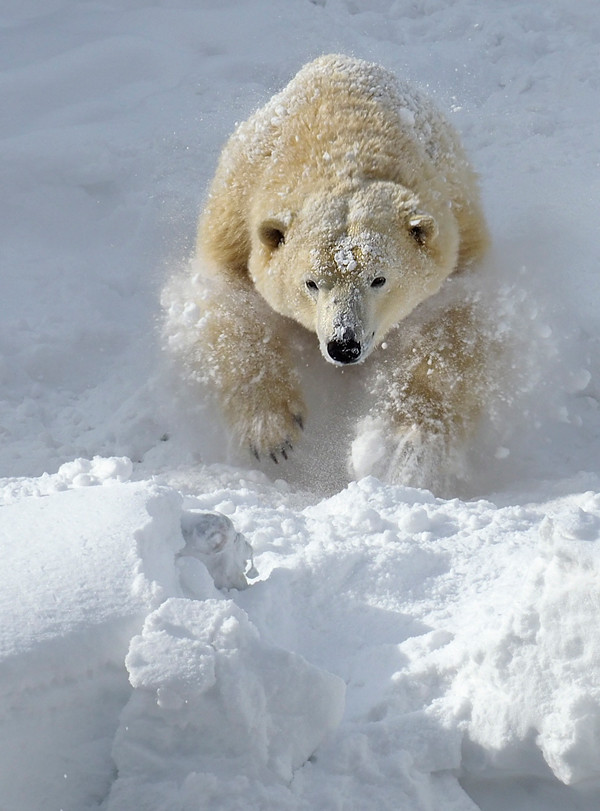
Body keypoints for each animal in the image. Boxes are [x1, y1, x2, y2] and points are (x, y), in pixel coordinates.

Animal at [165, 55, 492, 494]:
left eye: (379, 279)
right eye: (311, 282)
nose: (344, 345)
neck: (341, 148)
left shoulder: (459, 243)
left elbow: (455, 332)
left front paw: (405, 450)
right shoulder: (237, 220)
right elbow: (232, 308)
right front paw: (273, 434)